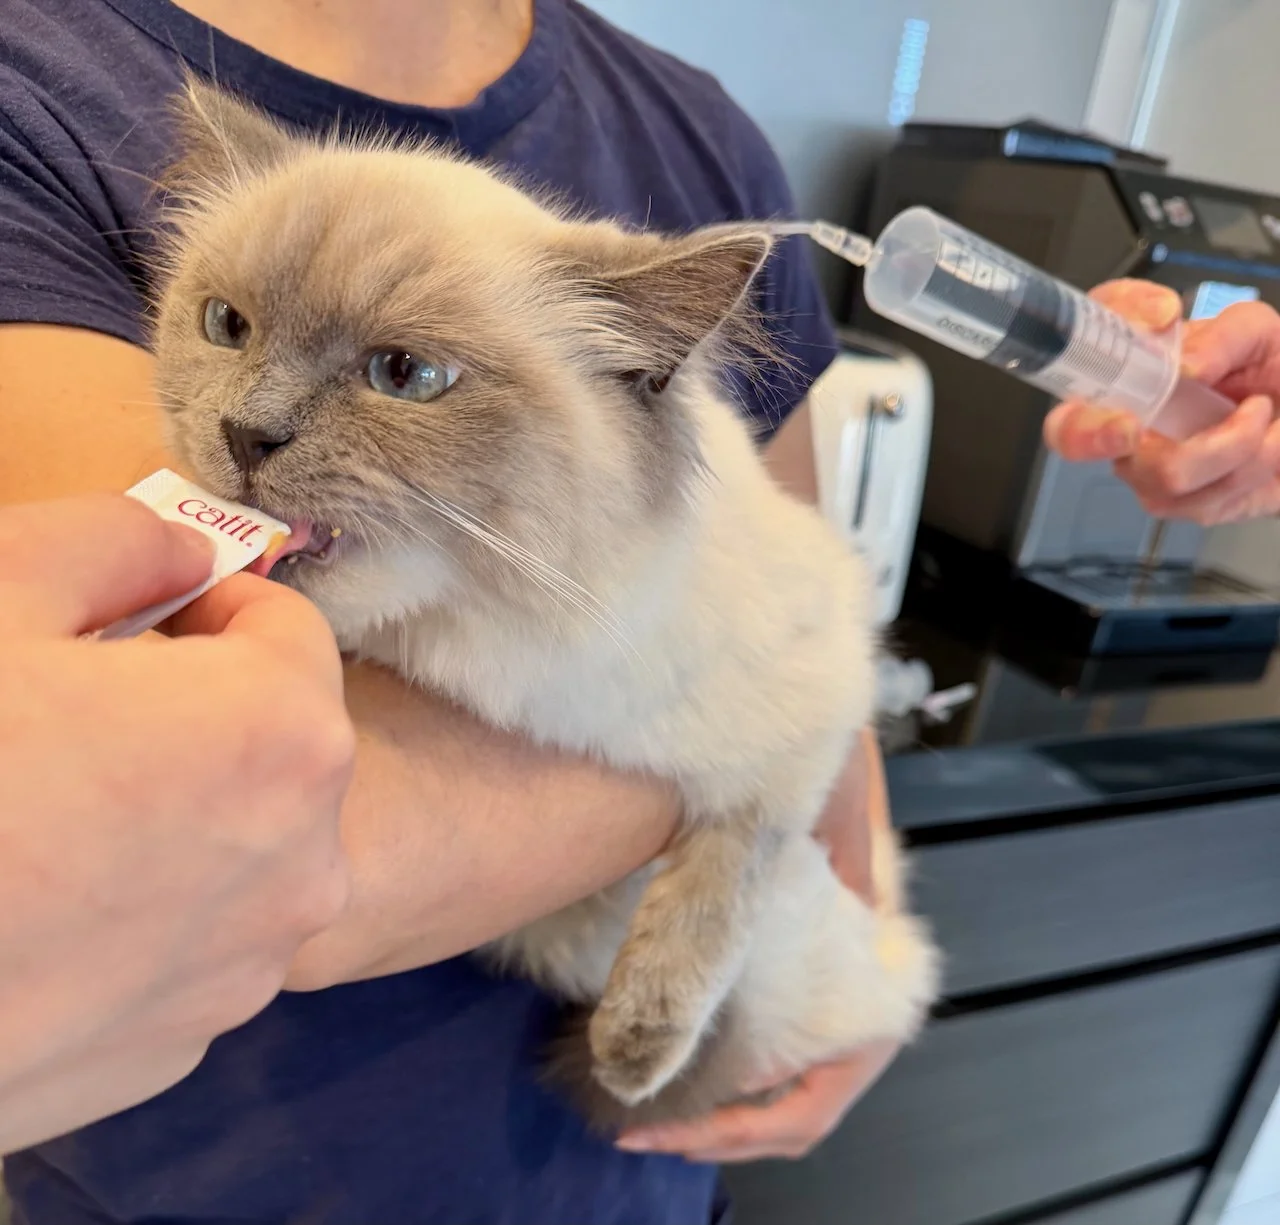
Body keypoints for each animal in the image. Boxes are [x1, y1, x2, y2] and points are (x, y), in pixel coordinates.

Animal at [150, 78, 940, 1129]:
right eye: (227, 327)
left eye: (404, 376)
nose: (246, 433)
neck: (509, 650)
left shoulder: (816, 719)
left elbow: (723, 878)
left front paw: (636, 1048)